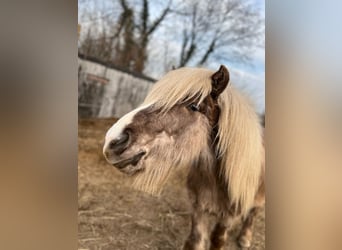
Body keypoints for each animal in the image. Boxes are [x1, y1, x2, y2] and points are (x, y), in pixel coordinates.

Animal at [102, 65, 264, 249]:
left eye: (193, 106)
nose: (114, 140)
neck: (217, 181)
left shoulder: (228, 218)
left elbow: (218, 240)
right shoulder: (198, 208)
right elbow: (195, 240)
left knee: (253, 214)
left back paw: (245, 238)